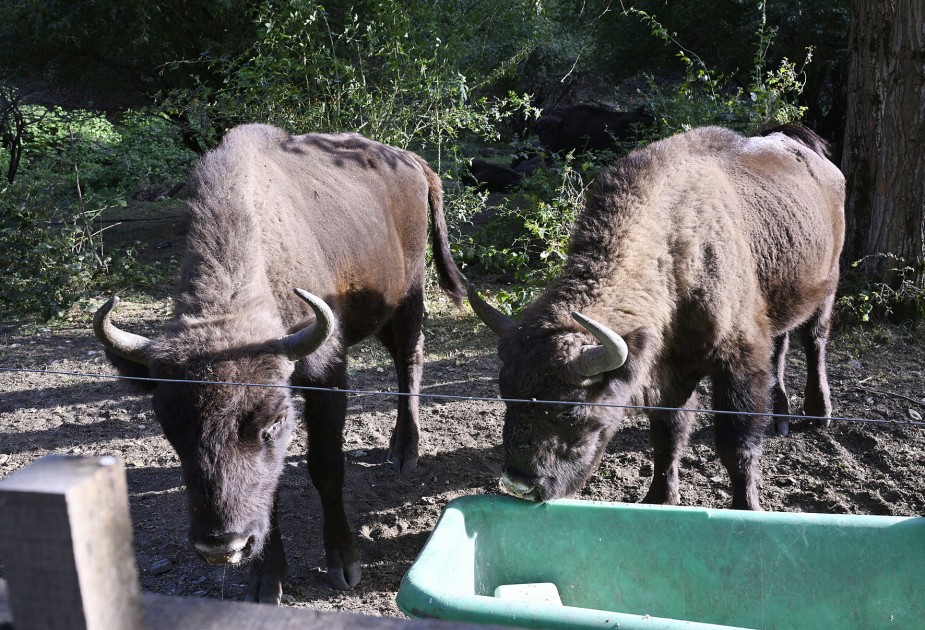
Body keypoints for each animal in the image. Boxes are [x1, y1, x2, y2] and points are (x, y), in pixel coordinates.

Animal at [93, 122, 466, 604]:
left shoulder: (327, 375)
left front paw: (344, 564)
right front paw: (265, 582)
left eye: (273, 423)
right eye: (170, 426)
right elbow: (269, 492)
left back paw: (404, 451)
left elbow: (326, 466)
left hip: (408, 296)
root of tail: (413, 161)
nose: (221, 546)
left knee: (409, 361)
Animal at [470, 124, 844, 512]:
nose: (519, 484)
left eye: (570, 410)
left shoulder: (738, 363)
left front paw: (746, 507)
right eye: (505, 394)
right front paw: (659, 498)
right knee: (781, 346)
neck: (676, 247)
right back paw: (781, 416)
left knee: (814, 341)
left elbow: (736, 445)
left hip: (827, 287)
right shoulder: (669, 372)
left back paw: (818, 413)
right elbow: (667, 436)